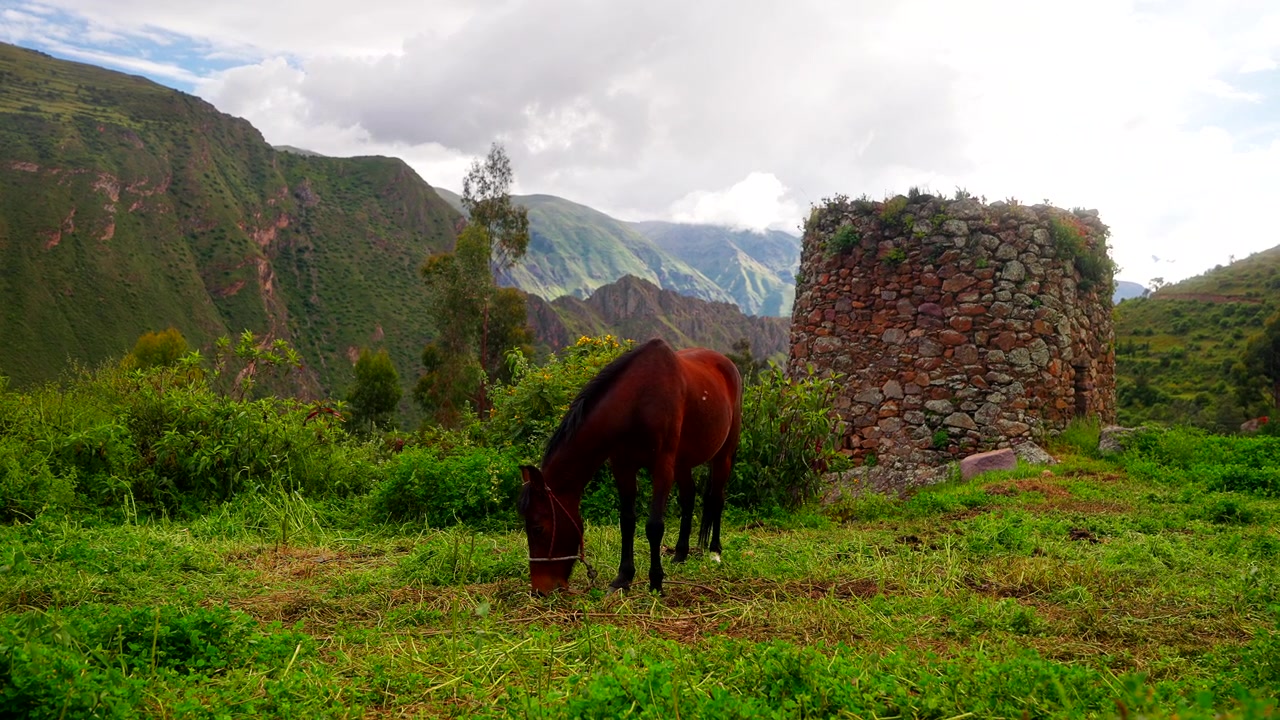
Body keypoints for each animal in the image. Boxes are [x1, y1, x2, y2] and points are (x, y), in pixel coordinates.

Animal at [517, 337, 743, 595]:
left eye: (538, 528)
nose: (540, 590)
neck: (638, 402)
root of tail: (727, 364)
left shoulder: (662, 467)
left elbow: (654, 526)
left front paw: (656, 581)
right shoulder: (623, 466)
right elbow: (627, 521)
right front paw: (623, 577)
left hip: (723, 455)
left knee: (717, 498)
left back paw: (715, 552)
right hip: (683, 463)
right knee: (689, 498)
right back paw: (680, 554)